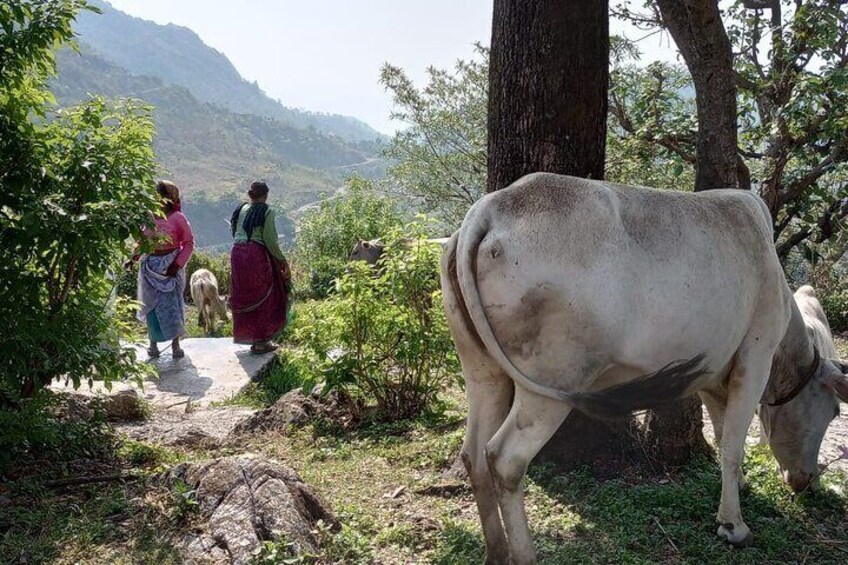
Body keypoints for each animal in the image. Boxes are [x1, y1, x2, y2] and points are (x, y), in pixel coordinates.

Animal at [444, 173, 848, 564]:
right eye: (833, 411)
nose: (805, 480)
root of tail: (492, 208)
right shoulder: (755, 357)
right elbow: (733, 446)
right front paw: (734, 526)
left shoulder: (713, 376)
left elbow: (722, 439)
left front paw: (738, 490)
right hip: (552, 381)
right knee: (504, 460)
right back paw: (523, 554)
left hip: (483, 370)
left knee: (474, 452)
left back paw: (496, 551)